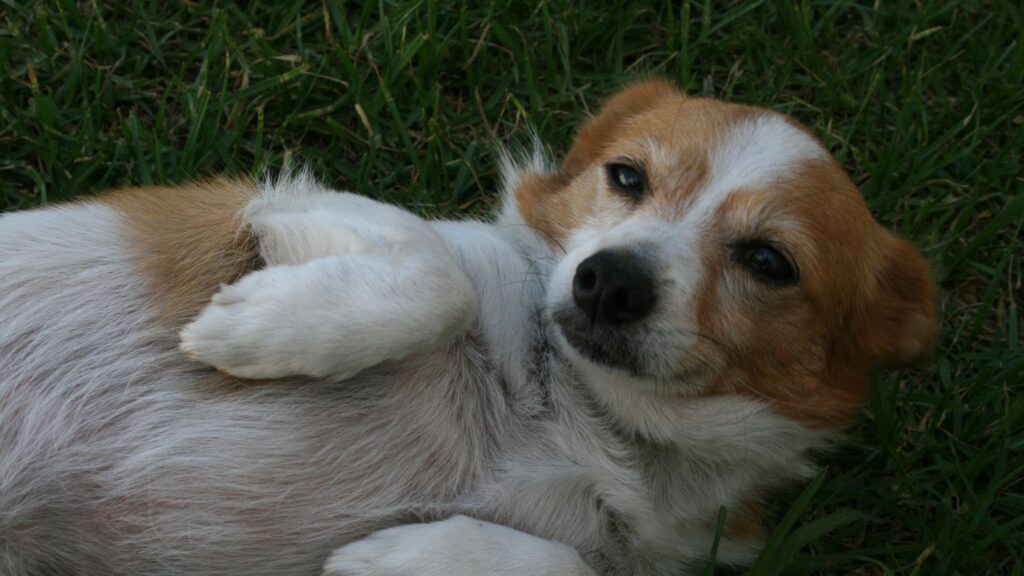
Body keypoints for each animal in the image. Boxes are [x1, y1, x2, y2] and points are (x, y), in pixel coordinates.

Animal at [0, 81, 937, 573]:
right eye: (626, 177)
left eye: (769, 261)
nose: (609, 281)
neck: (579, 415)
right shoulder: (291, 206)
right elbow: (441, 277)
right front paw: (258, 326)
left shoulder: (651, 552)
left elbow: (567, 564)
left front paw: (394, 555)